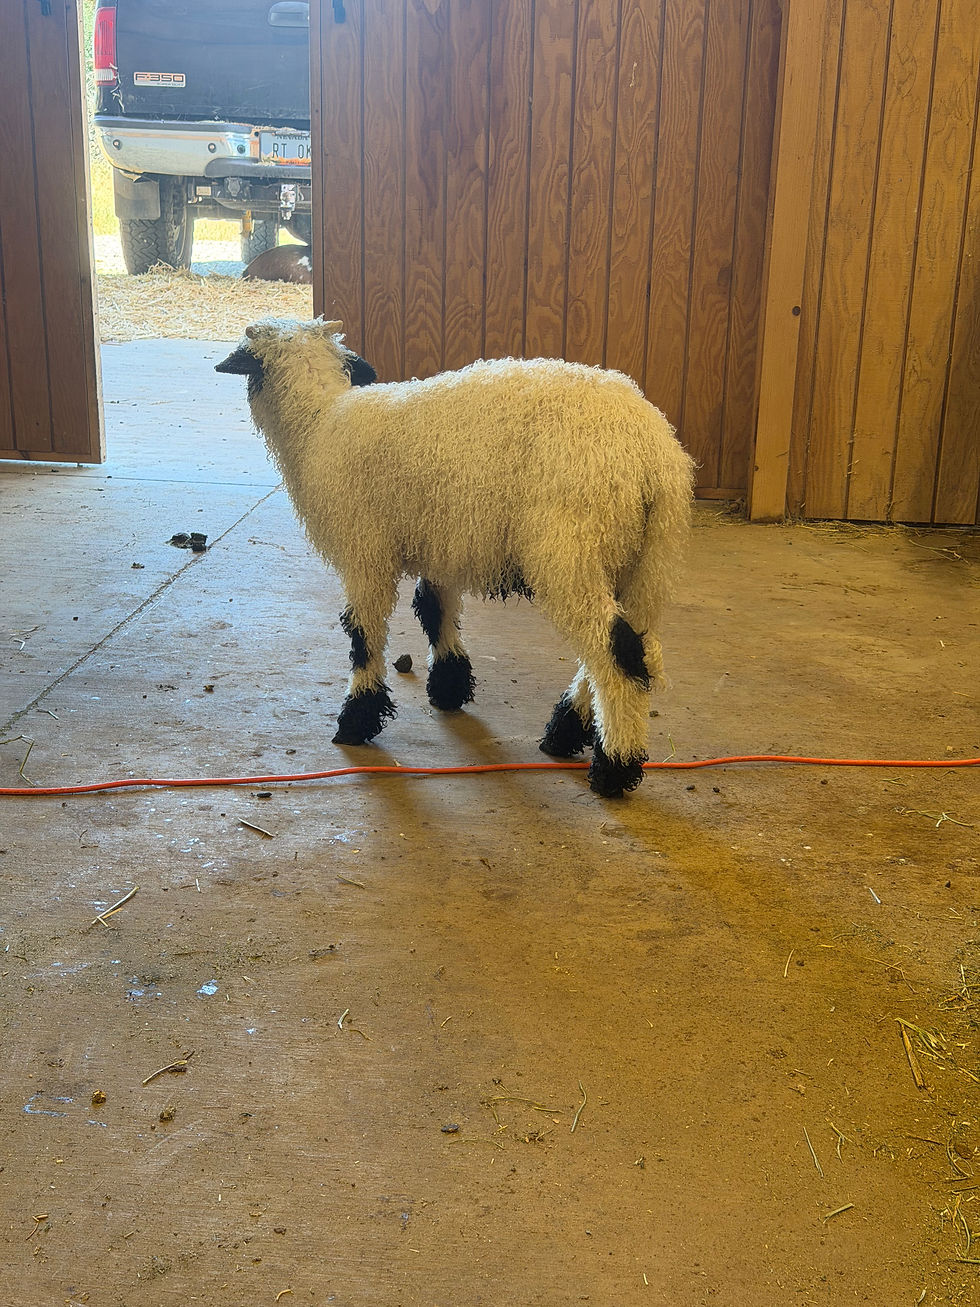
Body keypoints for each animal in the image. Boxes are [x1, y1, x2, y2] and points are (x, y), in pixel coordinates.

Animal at [215, 318, 695, 797]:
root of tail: (654, 454)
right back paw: (565, 732)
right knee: (626, 646)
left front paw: (357, 719)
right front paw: (449, 687)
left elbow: (362, 635)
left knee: (615, 655)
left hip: (569, 549)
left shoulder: (366, 552)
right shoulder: (441, 545)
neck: (318, 424)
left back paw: (613, 767)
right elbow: (434, 609)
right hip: (644, 563)